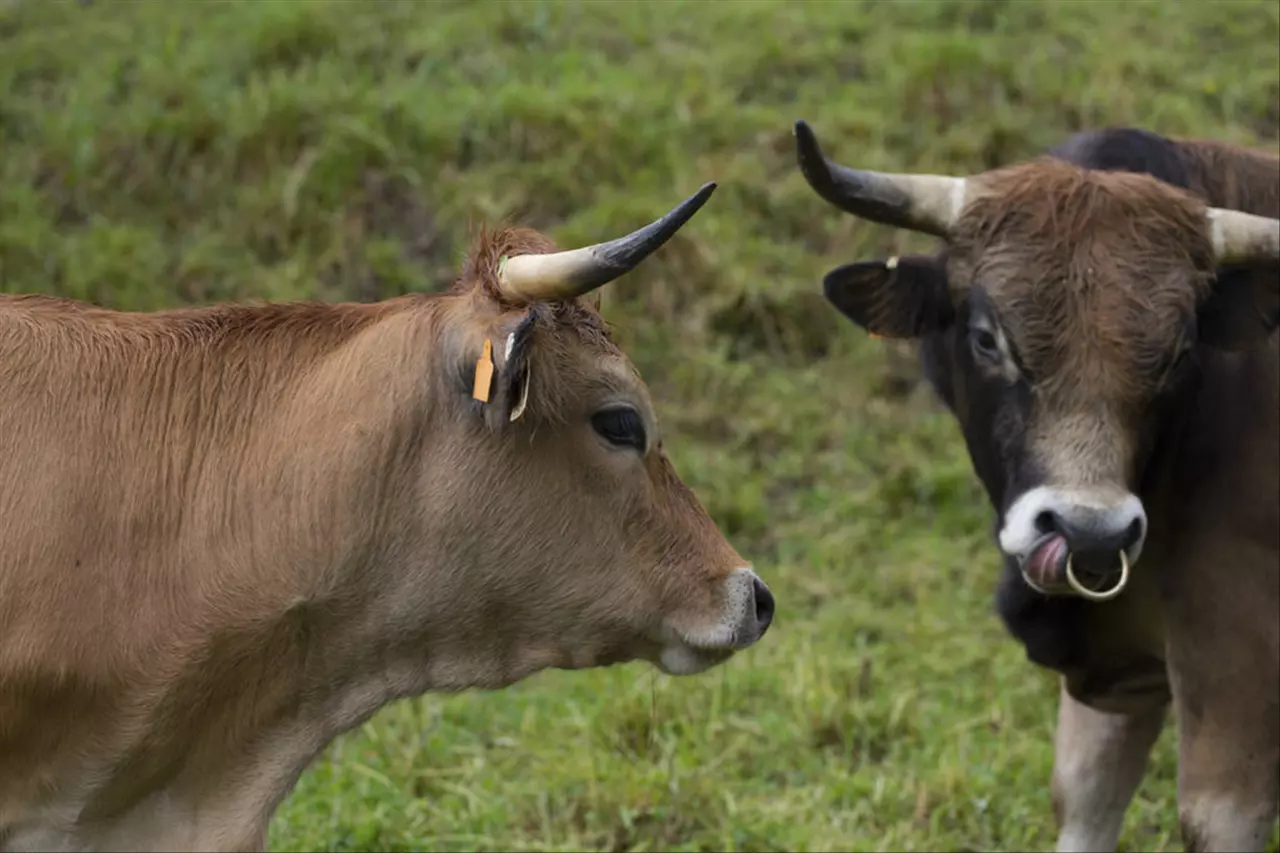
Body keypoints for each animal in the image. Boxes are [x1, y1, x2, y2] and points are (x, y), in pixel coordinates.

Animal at [793, 121, 1274, 850]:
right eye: (988, 338)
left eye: (1178, 352)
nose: (1089, 533)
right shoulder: (1119, 669)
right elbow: (1082, 800)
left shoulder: (1236, 666)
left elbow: (1213, 820)